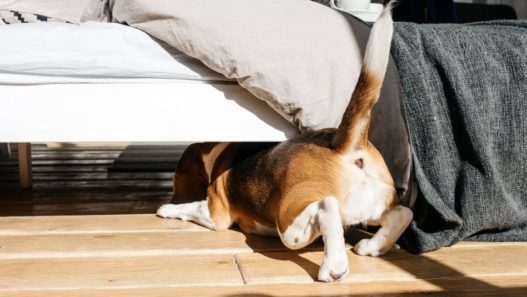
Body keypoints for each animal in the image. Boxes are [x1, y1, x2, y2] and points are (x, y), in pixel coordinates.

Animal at [157, 5, 412, 280]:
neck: (217, 150)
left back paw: (333, 267)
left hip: (289, 222)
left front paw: (167, 209)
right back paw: (372, 246)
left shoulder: (216, 213)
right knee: (403, 213)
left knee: (327, 206)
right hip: (375, 202)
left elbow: (189, 208)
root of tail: (339, 144)